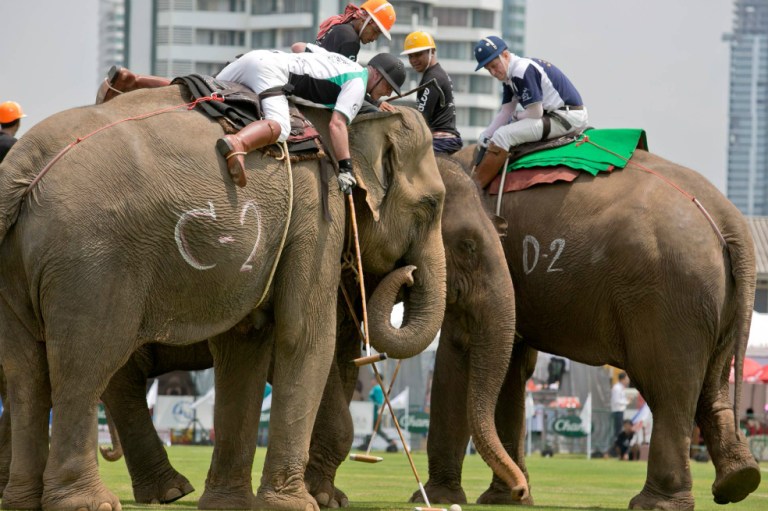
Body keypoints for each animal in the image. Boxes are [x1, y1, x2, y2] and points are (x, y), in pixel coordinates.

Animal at [0, 82, 451, 511]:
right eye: (431, 206)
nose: (408, 274)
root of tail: (23, 167)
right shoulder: (316, 213)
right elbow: (303, 336)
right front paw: (294, 505)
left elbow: (244, 345)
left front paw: (229, 503)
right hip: (93, 264)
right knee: (85, 366)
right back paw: (94, 502)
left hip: (21, 267)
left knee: (26, 374)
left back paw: (25, 500)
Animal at [411, 145, 761, 510]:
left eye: (468, 247)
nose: (518, 489)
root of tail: (730, 220)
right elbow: (511, 366)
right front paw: (505, 499)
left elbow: (457, 351)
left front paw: (438, 497)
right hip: (718, 302)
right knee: (711, 385)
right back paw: (739, 480)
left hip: (669, 296)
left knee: (668, 390)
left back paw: (655, 503)